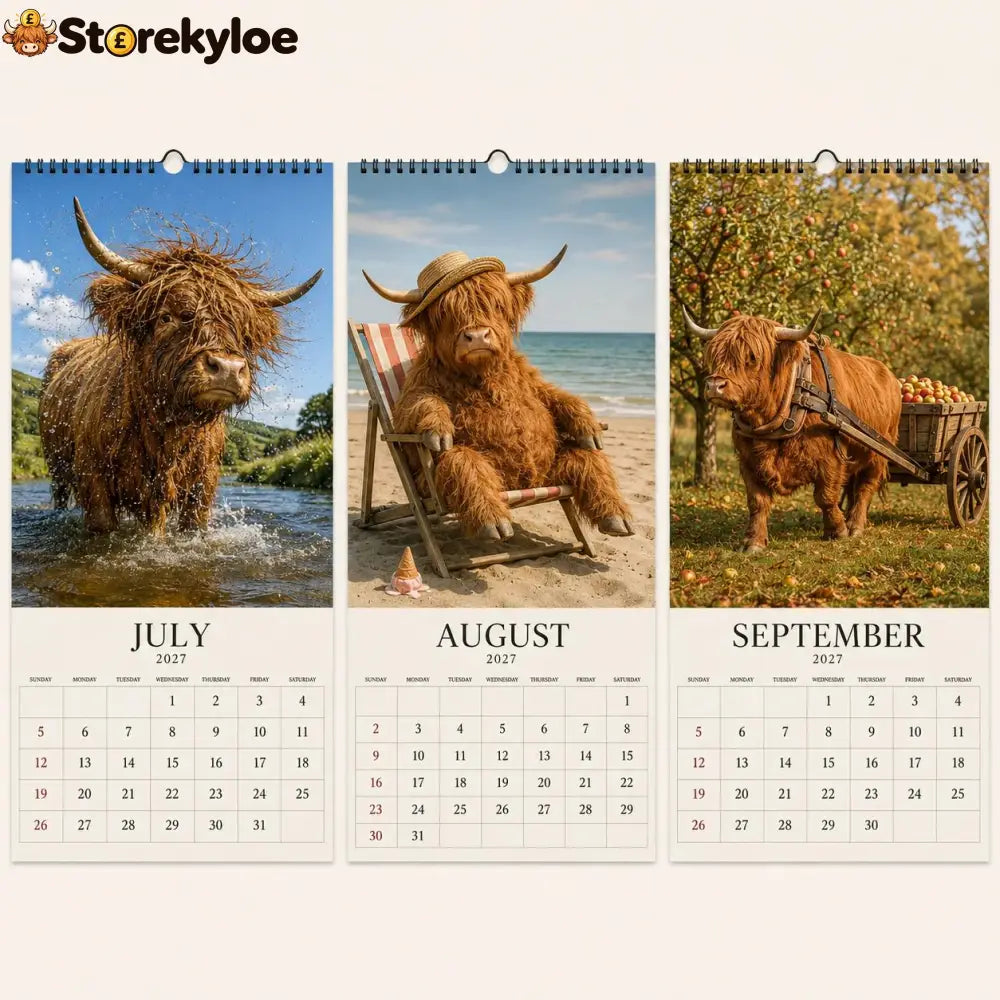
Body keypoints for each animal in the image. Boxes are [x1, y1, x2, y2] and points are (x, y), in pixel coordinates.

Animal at [38, 198, 322, 534]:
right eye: (166, 316)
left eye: (242, 329)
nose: (227, 368)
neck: (168, 434)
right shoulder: (93, 479)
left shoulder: (203, 486)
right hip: (56, 466)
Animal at [363, 247, 633, 540]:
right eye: (445, 312)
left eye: (496, 305)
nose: (477, 336)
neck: (484, 374)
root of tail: (525, 482)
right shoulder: (414, 394)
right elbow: (419, 405)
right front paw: (437, 428)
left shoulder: (531, 382)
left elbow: (555, 396)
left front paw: (587, 425)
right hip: (437, 482)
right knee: (460, 459)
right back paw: (492, 521)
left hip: (550, 474)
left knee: (584, 457)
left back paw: (615, 517)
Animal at [682, 306, 900, 552]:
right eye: (716, 355)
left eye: (752, 357)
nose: (714, 386)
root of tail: (890, 376)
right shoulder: (748, 459)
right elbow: (757, 501)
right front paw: (754, 541)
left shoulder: (831, 457)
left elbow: (825, 496)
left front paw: (838, 531)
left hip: (878, 454)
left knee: (865, 487)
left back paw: (855, 526)